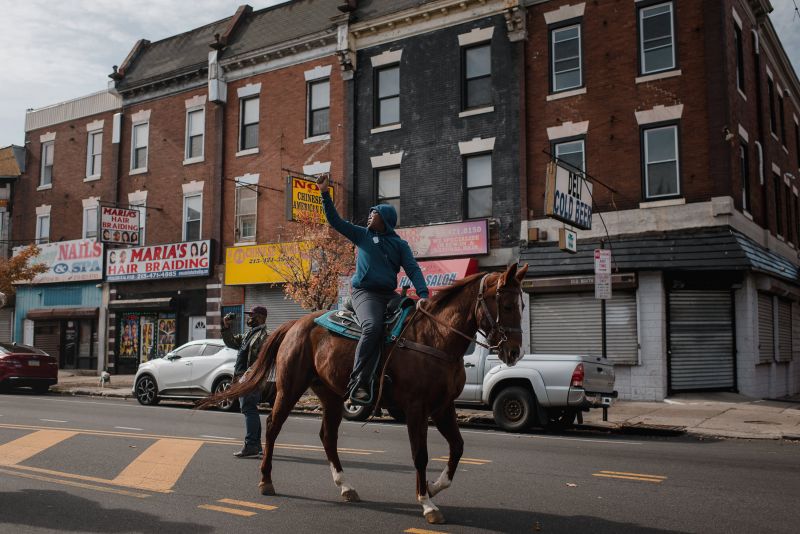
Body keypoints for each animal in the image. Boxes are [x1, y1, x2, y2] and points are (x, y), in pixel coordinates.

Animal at [206, 262, 528, 524]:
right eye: (506, 305)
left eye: (522, 306)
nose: (514, 352)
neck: (435, 338)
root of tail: (295, 323)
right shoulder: (417, 408)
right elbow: (420, 454)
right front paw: (426, 503)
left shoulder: (443, 406)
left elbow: (458, 447)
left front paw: (434, 488)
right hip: (290, 387)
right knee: (273, 427)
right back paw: (266, 481)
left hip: (332, 395)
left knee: (328, 436)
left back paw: (345, 486)